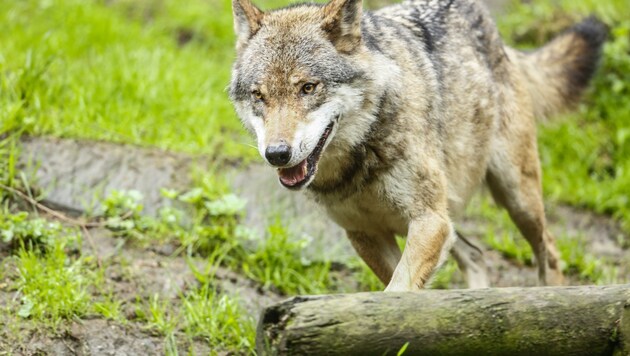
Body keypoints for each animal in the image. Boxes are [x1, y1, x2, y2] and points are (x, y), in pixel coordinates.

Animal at [230, 0, 608, 290]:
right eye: (259, 96)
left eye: (308, 88)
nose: (277, 154)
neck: (359, 164)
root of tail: (487, 24)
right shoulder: (364, 234)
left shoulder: (429, 221)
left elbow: (398, 289)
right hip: (454, 214)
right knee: (477, 256)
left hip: (516, 197)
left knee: (550, 251)